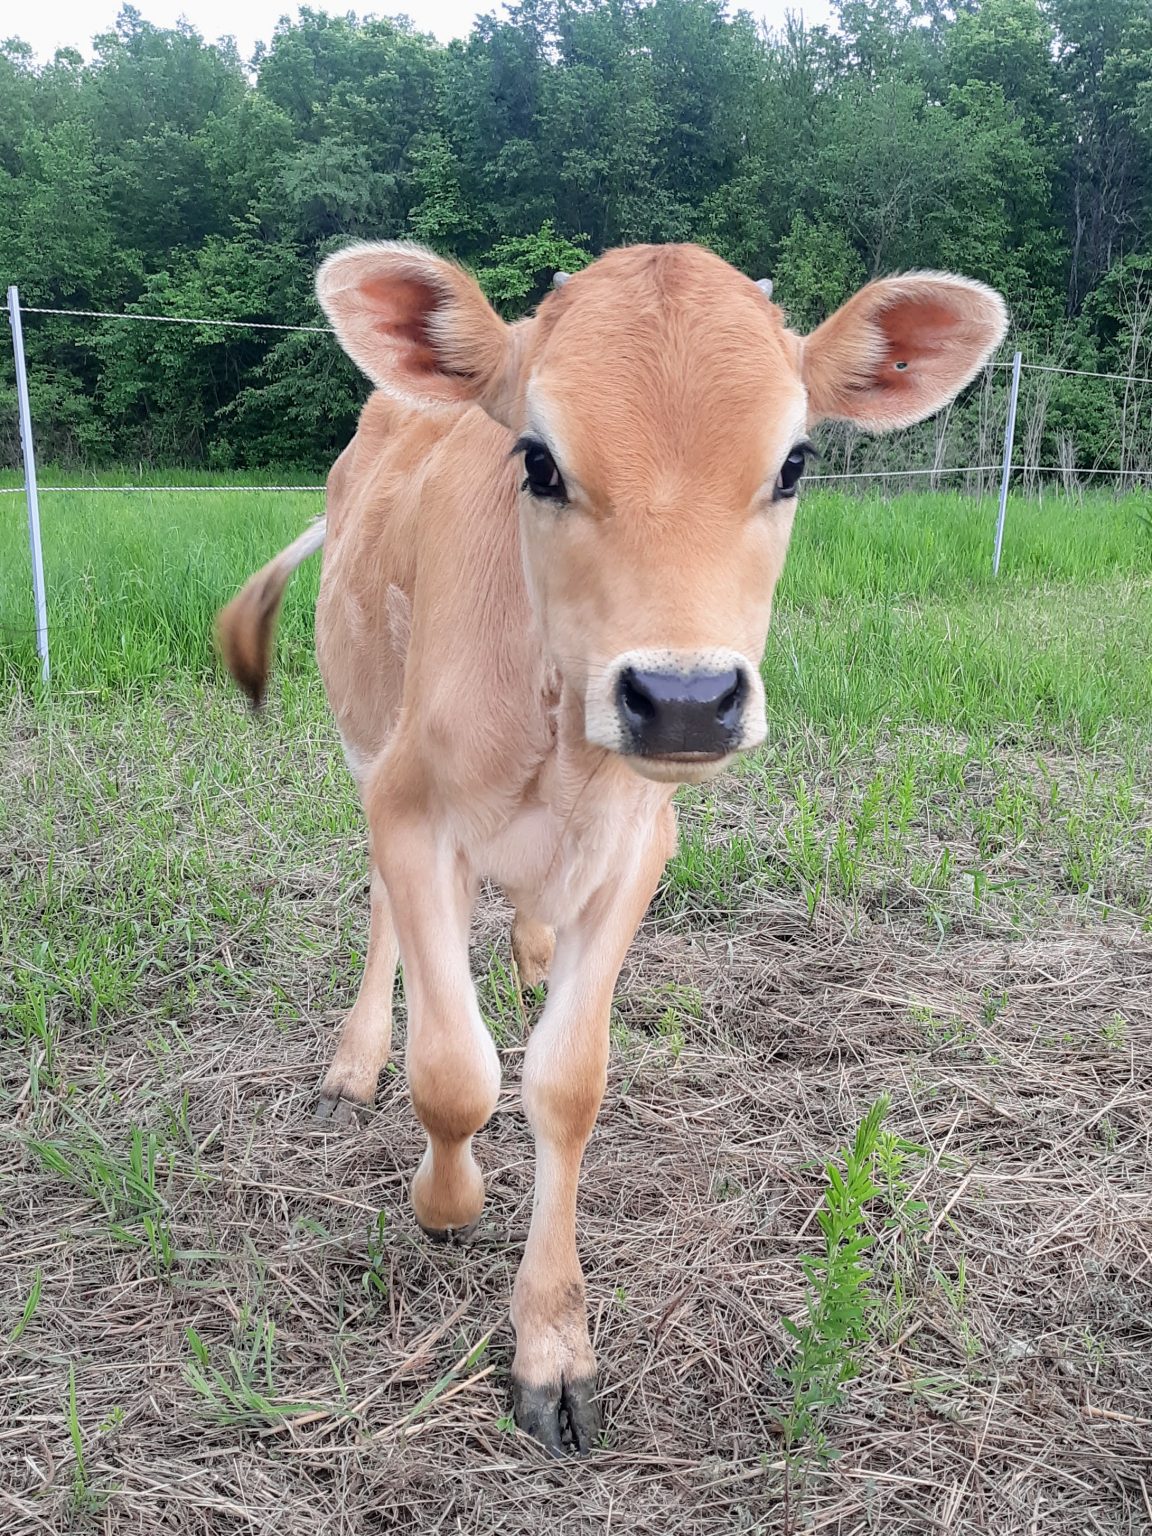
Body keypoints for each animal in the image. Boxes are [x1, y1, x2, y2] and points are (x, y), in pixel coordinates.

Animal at [217, 241, 1006, 1453]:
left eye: (794, 464)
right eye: (538, 462)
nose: (682, 699)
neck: (559, 745)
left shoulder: (639, 843)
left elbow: (566, 1080)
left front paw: (551, 1344)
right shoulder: (409, 808)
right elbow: (455, 1073)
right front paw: (445, 1204)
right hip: (360, 731)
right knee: (388, 921)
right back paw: (355, 1060)